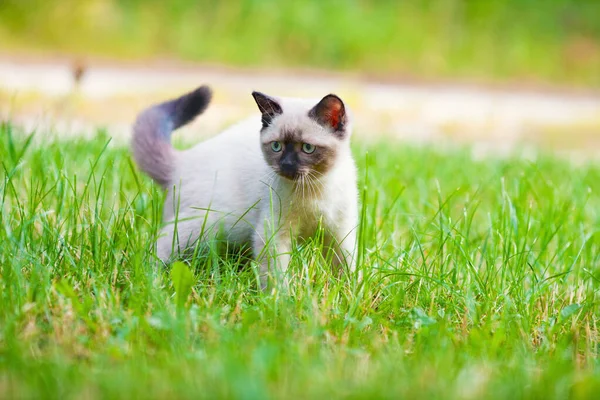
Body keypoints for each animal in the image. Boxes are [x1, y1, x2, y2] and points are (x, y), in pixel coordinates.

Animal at [131, 86, 358, 290]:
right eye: (277, 146)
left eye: (307, 148)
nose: (286, 165)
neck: (314, 188)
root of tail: (181, 161)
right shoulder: (272, 233)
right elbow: (276, 277)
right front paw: (283, 301)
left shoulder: (340, 233)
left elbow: (346, 267)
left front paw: (350, 292)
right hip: (208, 223)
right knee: (160, 243)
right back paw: (149, 277)